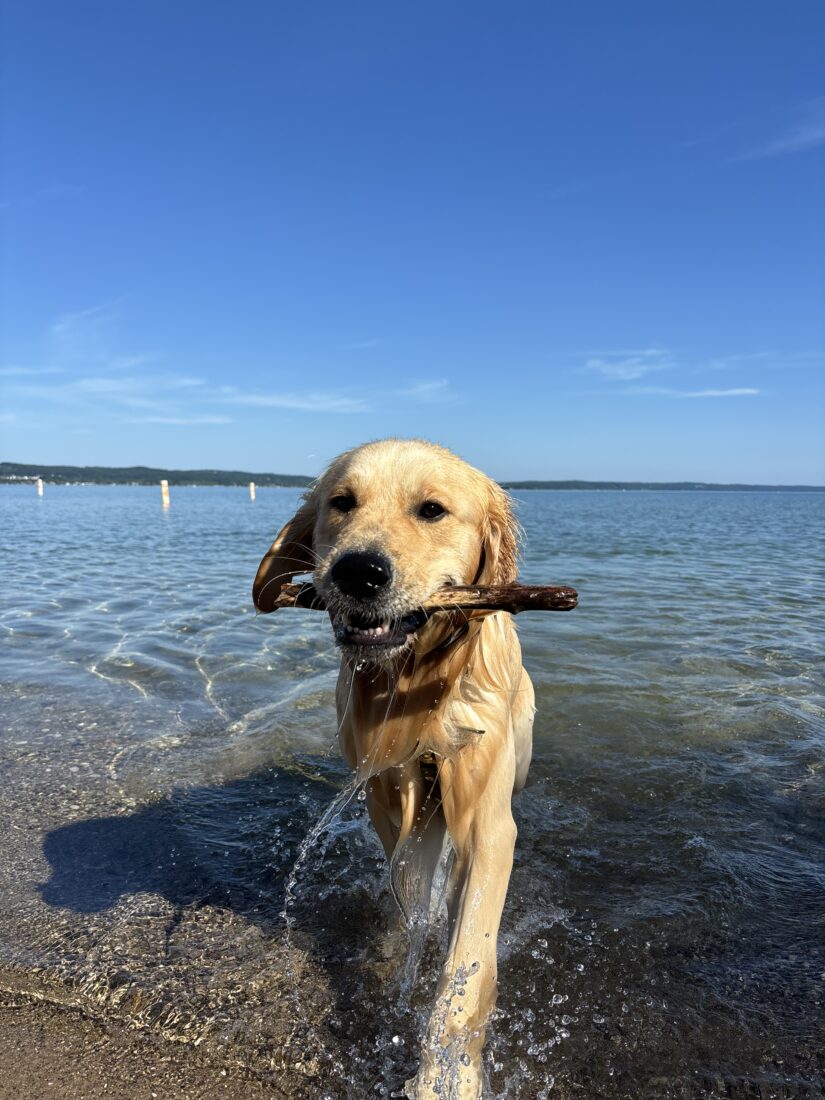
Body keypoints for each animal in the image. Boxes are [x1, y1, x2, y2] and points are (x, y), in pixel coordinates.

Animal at [254, 437, 536, 1100]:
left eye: (432, 509)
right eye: (341, 502)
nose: (358, 573)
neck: (418, 687)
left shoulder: (488, 821)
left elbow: (466, 963)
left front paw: (446, 1075)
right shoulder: (389, 794)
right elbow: (412, 890)